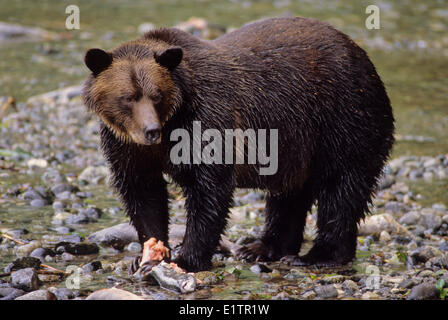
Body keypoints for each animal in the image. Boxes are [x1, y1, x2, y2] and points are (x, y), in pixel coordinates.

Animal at [82, 16, 394, 272]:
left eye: (156, 95)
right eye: (128, 97)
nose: (151, 131)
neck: (172, 122)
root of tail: (363, 57)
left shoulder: (208, 121)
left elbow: (209, 190)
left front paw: (188, 258)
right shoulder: (125, 146)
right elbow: (142, 191)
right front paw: (149, 252)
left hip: (343, 119)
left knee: (340, 189)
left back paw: (319, 256)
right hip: (295, 145)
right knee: (289, 194)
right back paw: (261, 248)